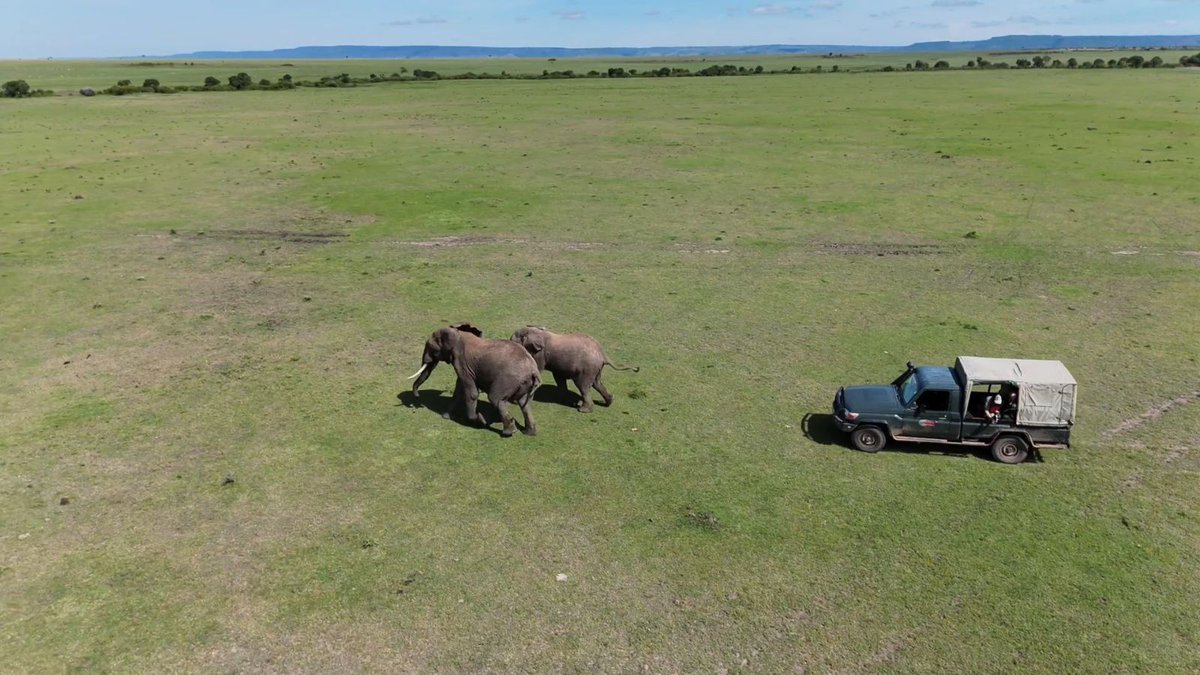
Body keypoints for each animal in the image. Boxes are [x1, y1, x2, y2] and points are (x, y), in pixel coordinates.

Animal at [408, 323, 541, 437]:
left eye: (431, 349)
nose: (417, 397)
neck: (457, 333)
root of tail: (533, 370)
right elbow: (459, 389)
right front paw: (446, 416)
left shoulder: (462, 362)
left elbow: (471, 393)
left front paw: (481, 420)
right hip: (524, 384)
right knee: (525, 404)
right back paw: (528, 433)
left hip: (509, 379)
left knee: (496, 398)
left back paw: (508, 432)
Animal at [510, 326, 639, 413]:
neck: (537, 331)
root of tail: (602, 354)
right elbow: (559, 378)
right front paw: (567, 401)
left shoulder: (540, 354)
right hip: (595, 369)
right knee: (596, 383)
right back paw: (608, 402)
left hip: (587, 369)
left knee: (583, 386)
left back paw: (583, 410)